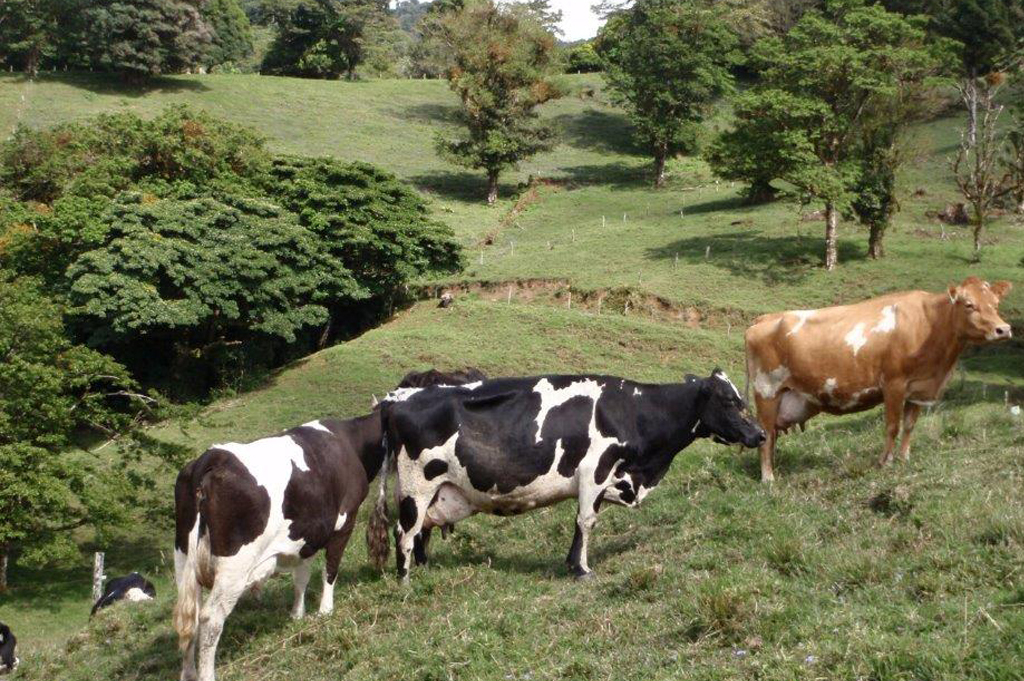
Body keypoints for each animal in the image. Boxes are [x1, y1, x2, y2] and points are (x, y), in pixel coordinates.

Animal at [173, 368, 483, 681]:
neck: (352, 443)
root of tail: (211, 458)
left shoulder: (307, 533)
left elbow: (301, 576)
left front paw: (298, 615)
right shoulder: (343, 522)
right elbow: (331, 568)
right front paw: (325, 610)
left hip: (183, 560)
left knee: (188, 618)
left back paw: (187, 671)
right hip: (234, 565)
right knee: (210, 618)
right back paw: (206, 673)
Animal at [374, 370, 765, 583]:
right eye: (730, 401)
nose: (760, 434)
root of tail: (398, 397)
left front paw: (572, 564)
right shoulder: (595, 470)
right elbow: (586, 521)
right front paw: (580, 568)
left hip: (434, 490)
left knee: (422, 531)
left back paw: (425, 568)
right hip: (415, 486)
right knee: (404, 532)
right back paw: (405, 581)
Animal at [744, 277, 1013, 482]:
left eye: (996, 303)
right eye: (969, 305)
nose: (1003, 329)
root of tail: (764, 318)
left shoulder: (917, 388)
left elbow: (909, 425)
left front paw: (904, 458)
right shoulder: (894, 383)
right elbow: (892, 426)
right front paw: (885, 462)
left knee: (772, 435)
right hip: (767, 390)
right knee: (766, 434)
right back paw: (768, 478)